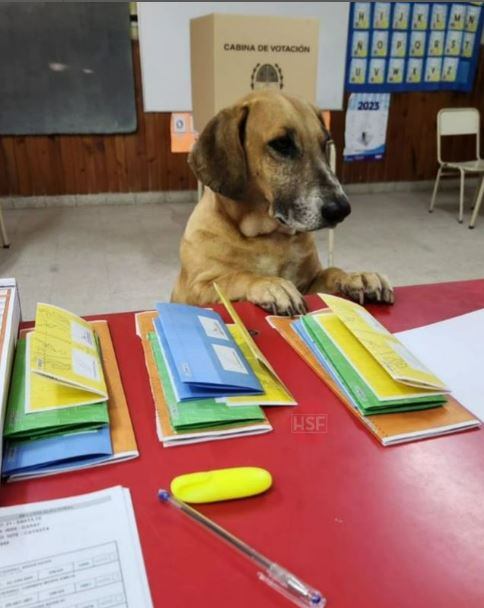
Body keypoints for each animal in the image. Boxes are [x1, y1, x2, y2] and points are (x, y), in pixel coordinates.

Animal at [172, 90, 396, 314]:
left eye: (324, 144)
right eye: (282, 144)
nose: (341, 210)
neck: (266, 237)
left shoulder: (309, 283)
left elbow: (331, 271)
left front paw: (356, 277)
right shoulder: (196, 289)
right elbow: (234, 277)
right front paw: (270, 283)